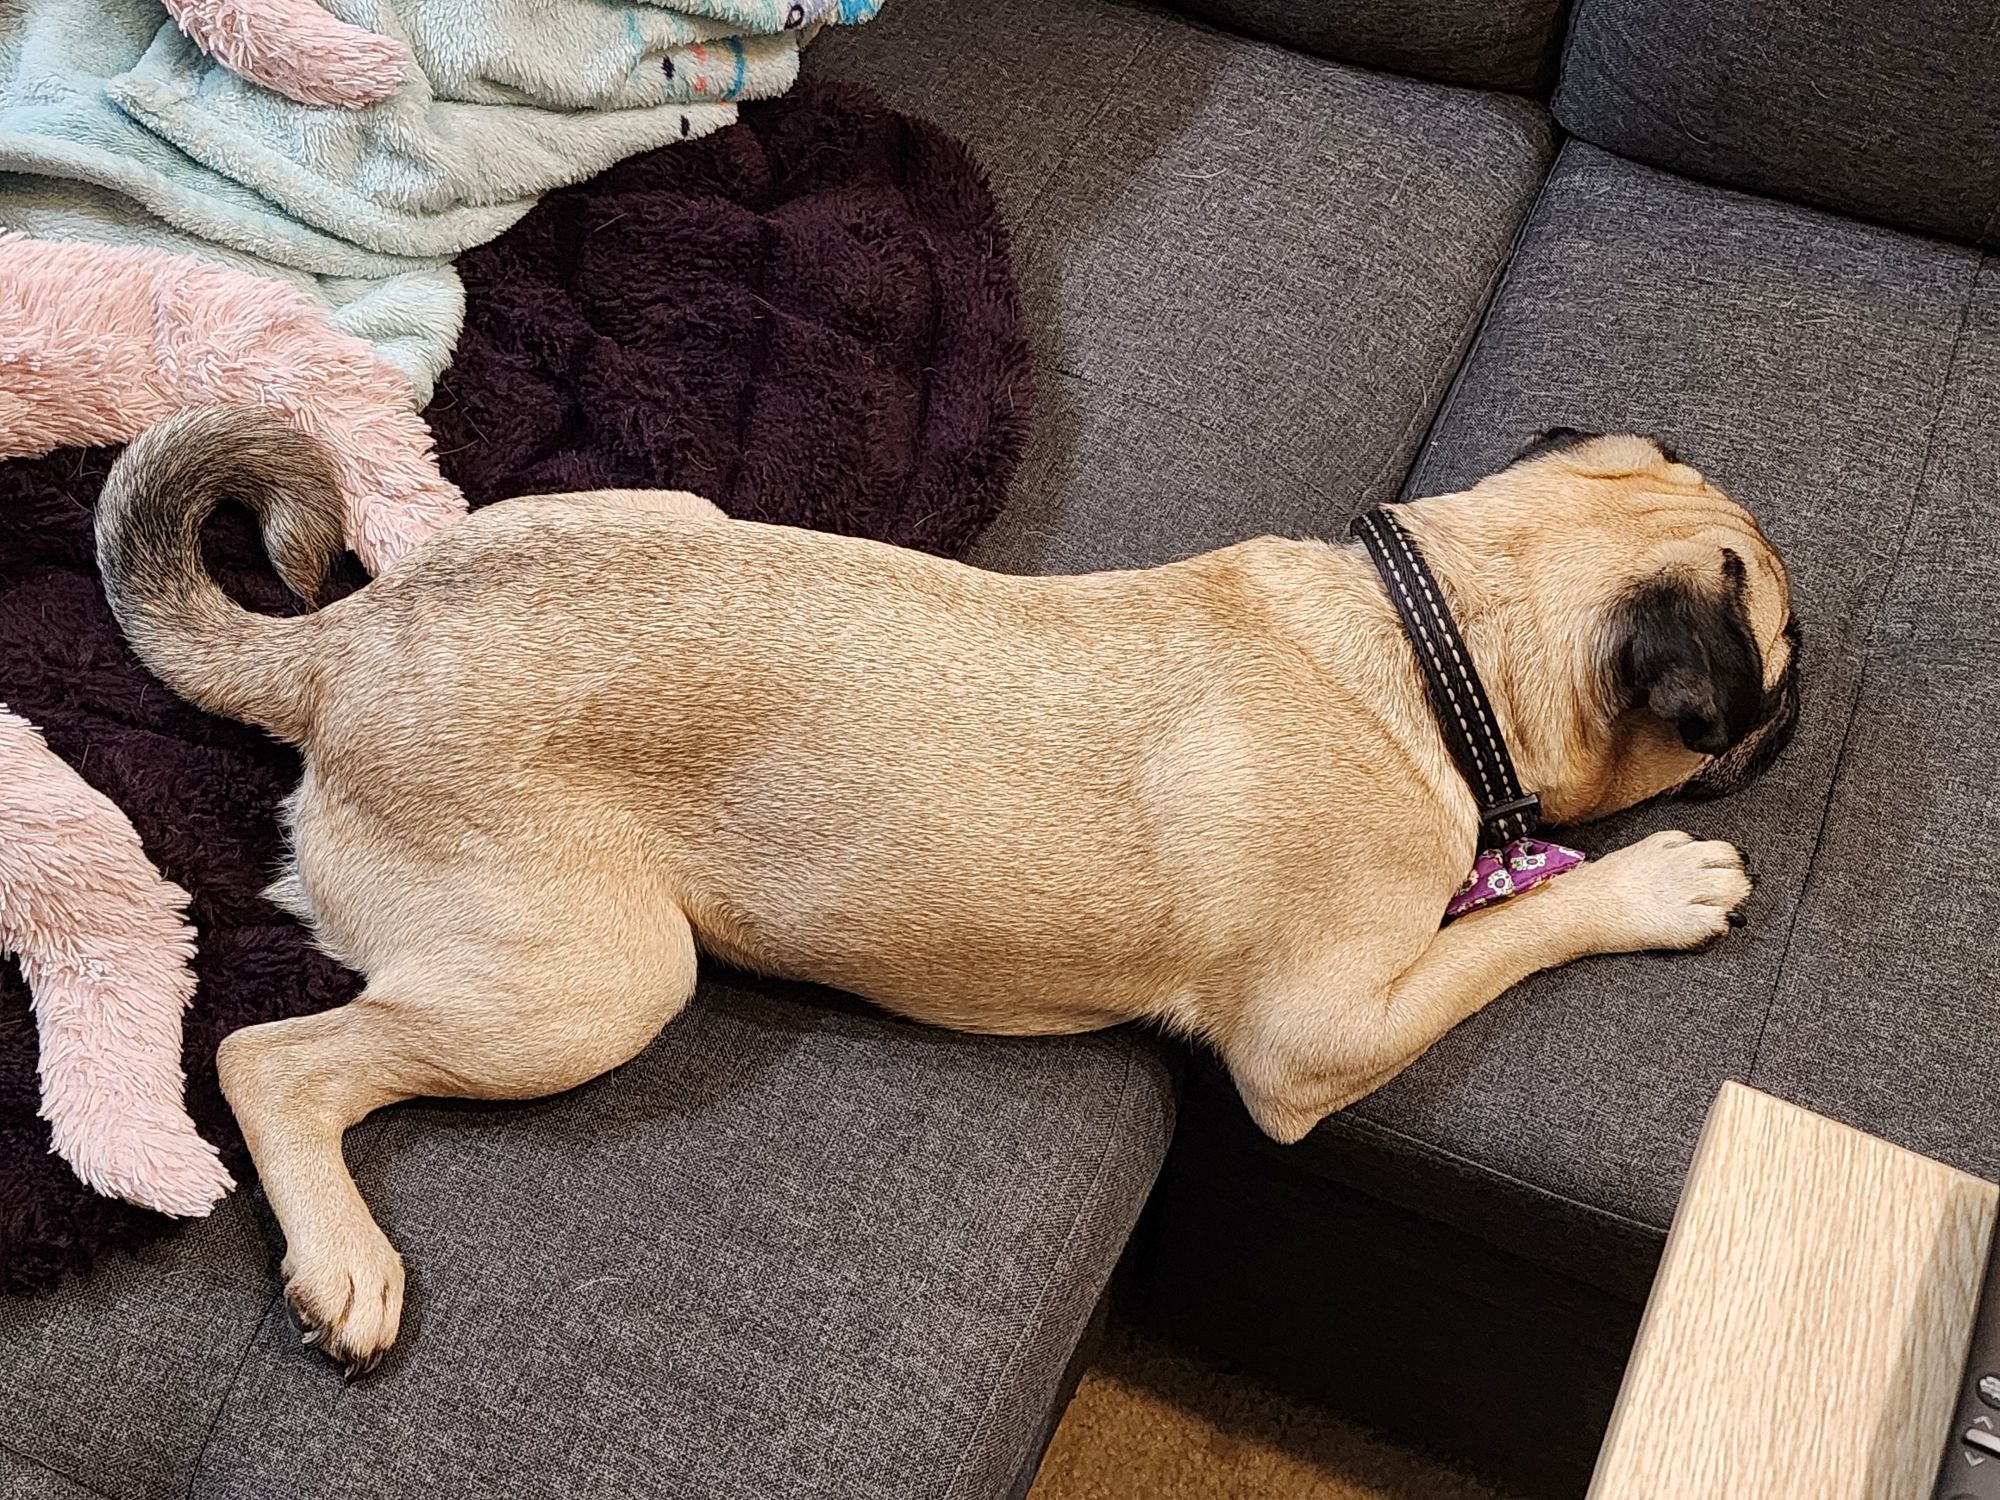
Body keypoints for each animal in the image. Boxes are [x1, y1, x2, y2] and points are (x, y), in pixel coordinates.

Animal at [101, 408, 1808, 1376]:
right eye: (1774, 674)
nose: (1800, 712)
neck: (1432, 632)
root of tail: (344, 647)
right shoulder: (1316, 1042)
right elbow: (1518, 924)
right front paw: (1654, 884)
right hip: (598, 985)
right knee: (274, 1060)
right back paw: (343, 1264)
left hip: (666, 529)